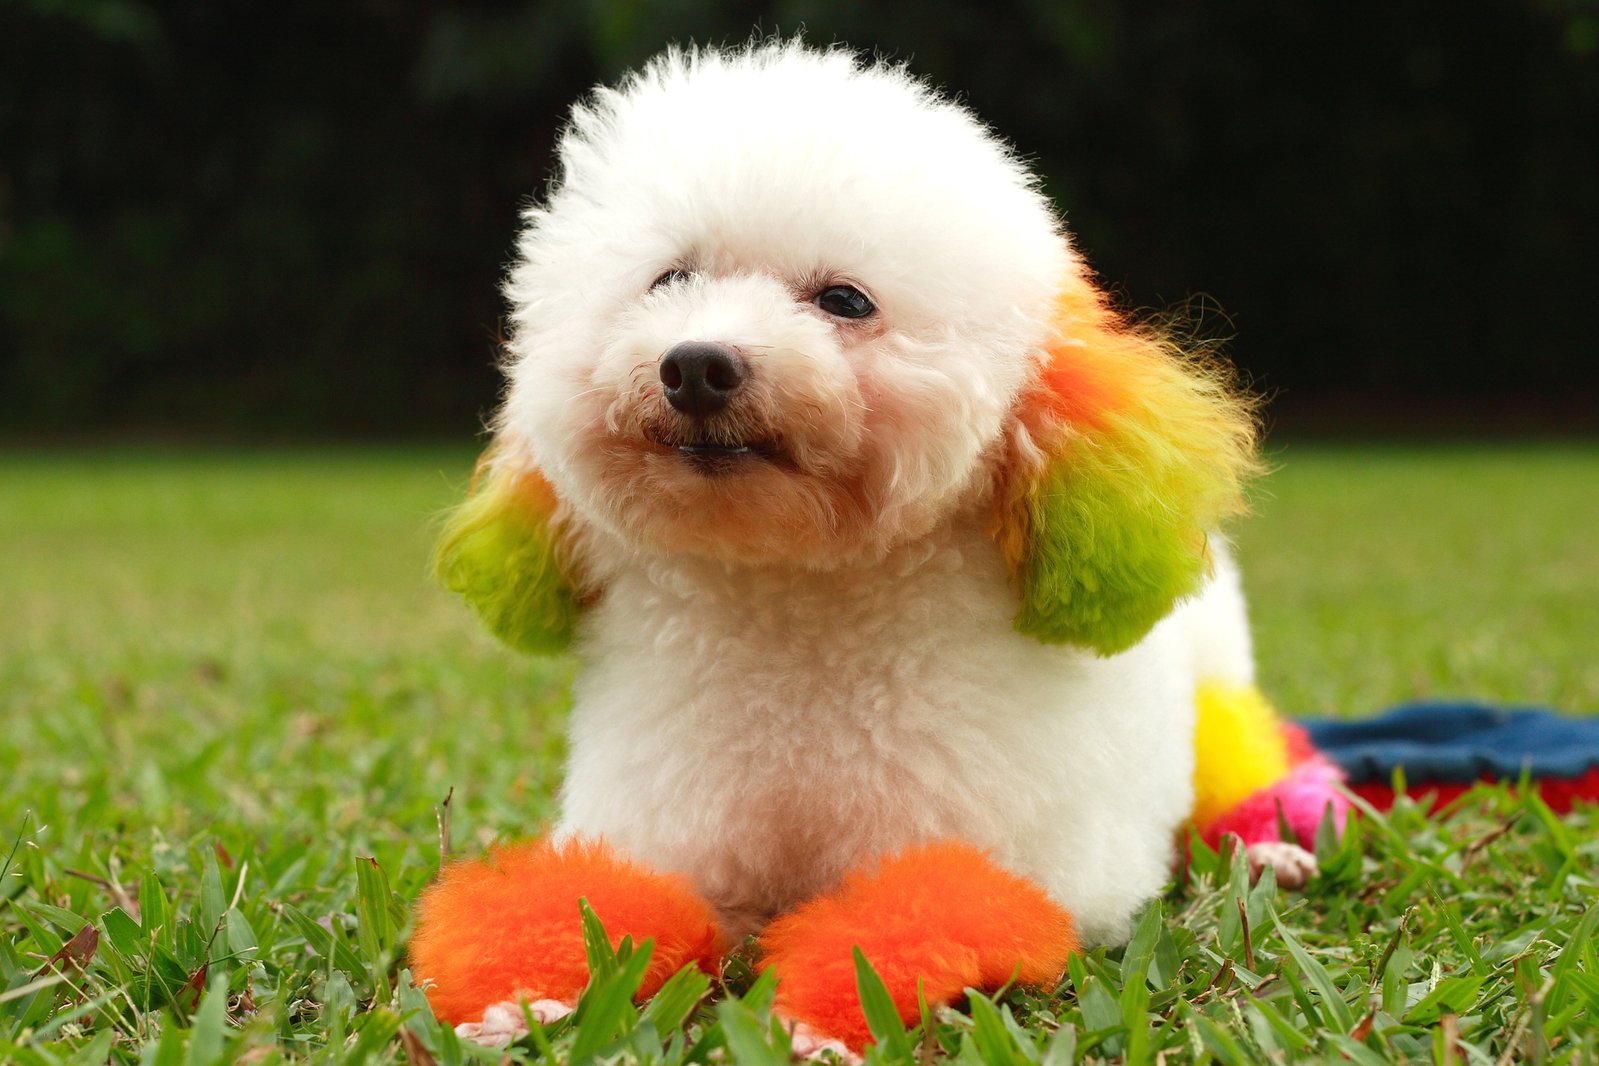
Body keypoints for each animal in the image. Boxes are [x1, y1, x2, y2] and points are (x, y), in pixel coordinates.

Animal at [412, 39, 1285, 1048]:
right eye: (670, 280)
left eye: (843, 300)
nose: (696, 366)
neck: (791, 592)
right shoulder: (667, 835)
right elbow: (600, 900)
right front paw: (521, 992)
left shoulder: (1022, 862)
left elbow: (929, 903)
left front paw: (824, 1017)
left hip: (1216, 678)